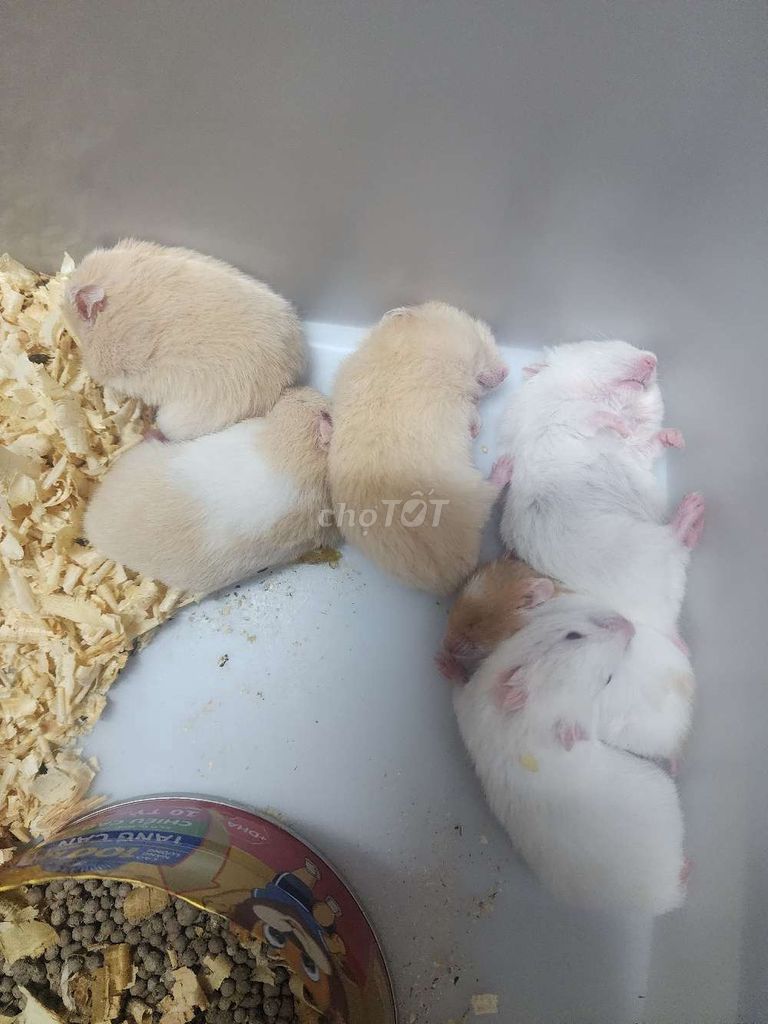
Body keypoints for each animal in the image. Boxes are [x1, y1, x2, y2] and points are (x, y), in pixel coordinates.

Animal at [329, 302, 510, 595]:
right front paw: (476, 428)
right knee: (490, 495)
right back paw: (505, 466)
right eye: (481, 342)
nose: (507, 372)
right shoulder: (457, 396)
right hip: (472, 492)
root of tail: (449, 573)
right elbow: (473, 412)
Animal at [499, 340, 705, 628]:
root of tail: (664, 624)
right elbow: (590, 415)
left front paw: (676, 438)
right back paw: (694, 504)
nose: (652, 359)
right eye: (600, 346)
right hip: (636, 547)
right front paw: (618, 424)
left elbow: (646, 444)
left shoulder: (635, 452)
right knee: (675, 539)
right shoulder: (563, 415)